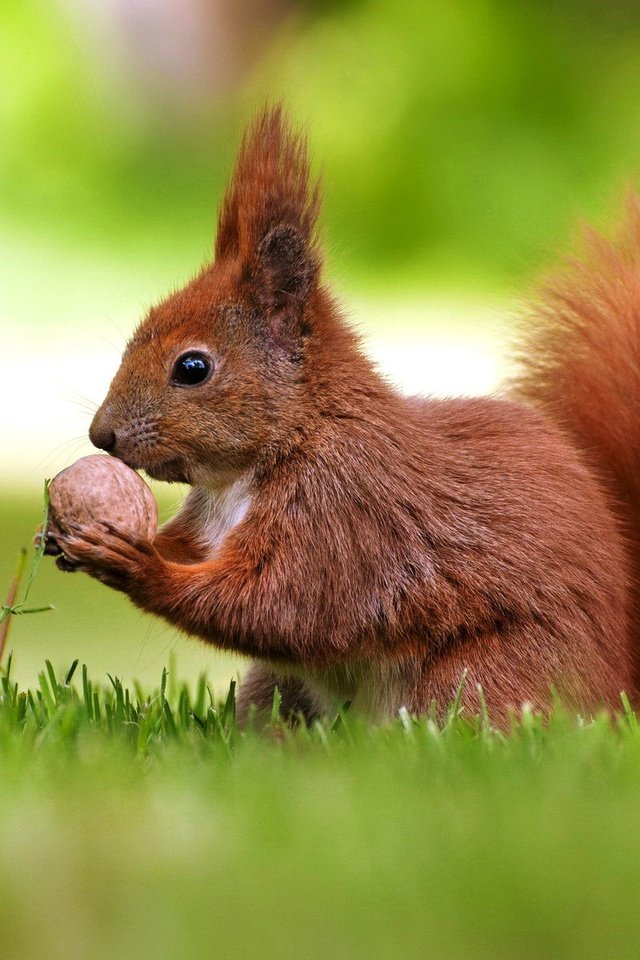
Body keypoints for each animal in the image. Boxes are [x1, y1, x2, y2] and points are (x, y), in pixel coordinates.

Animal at [53, 107, 640, 720]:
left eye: (192, 368)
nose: (101, 435)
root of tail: (619, 685)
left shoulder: (343, 513)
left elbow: (278, 606)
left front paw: (136, 565)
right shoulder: (212, 522)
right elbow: (196, 556)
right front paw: (72, 537)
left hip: (482, 676)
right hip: (278, 689)